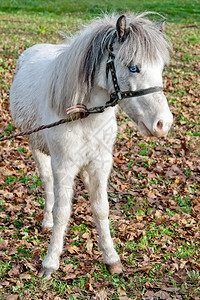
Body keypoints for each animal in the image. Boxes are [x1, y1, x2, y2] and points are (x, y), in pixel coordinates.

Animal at [9, 13, 172, 276]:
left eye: (160, 68)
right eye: (133, 67)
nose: (163, 124)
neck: (85, 116)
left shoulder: (99, 165)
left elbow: (101, 208)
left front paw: (111, 258)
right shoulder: (63, 166)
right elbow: (62, 211)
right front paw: (50, 263)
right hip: (38, 150)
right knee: (47, 183)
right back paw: (46, 222)